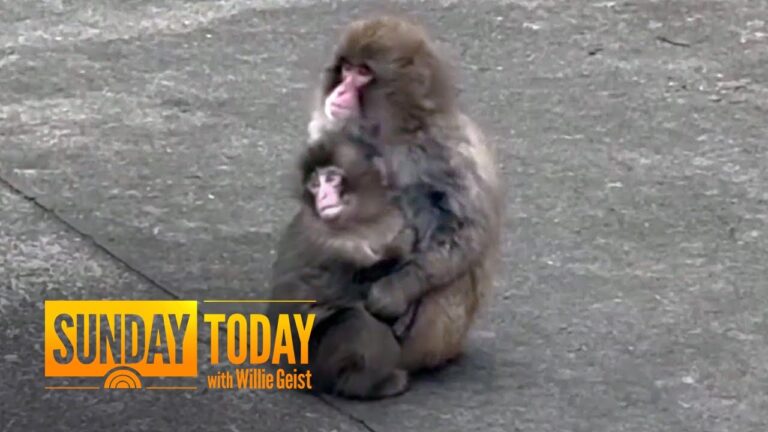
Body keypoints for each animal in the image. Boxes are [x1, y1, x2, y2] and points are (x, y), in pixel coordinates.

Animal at [306, 16, 503, 371]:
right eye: (347, 68)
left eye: (363, 72)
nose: (340, 90)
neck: (389, 134)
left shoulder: (452, 151)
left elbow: (464, 231)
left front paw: (394, 291)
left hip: (437, 339)